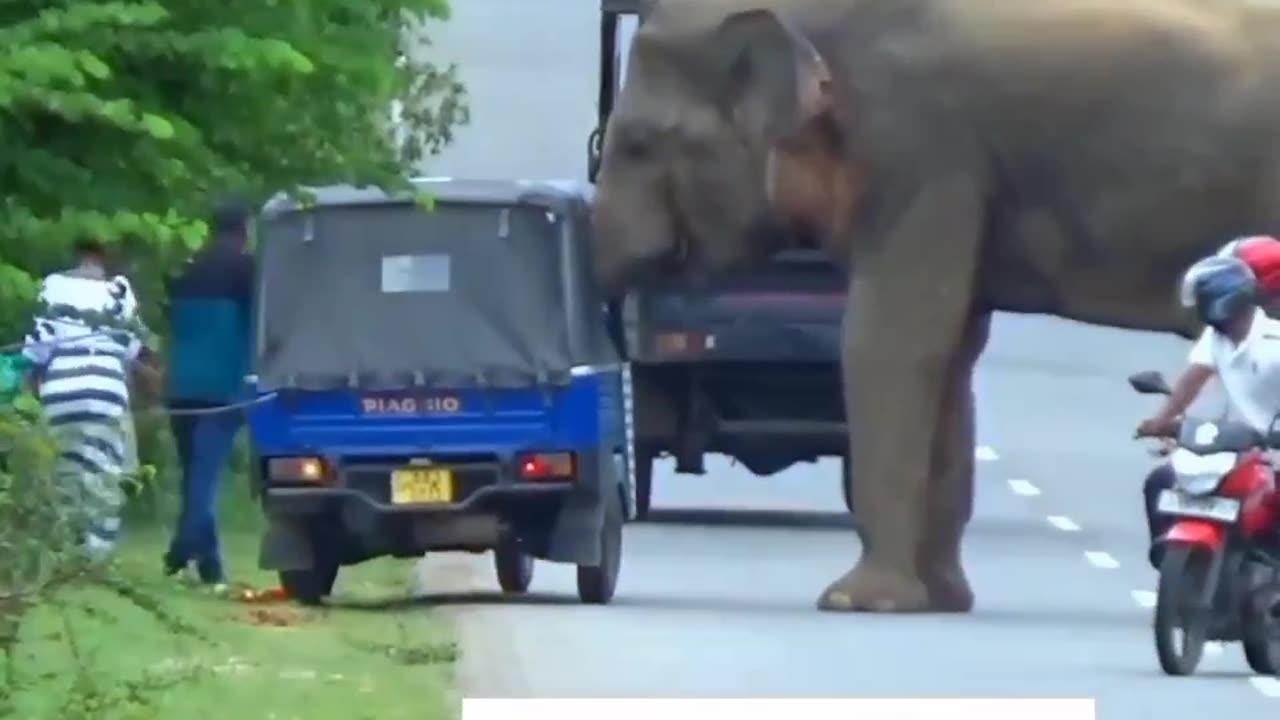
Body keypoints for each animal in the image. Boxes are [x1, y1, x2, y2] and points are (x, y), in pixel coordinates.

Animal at [591, 0, 1280, 609]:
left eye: (638, 146)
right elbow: (951, 353)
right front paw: (940, 601)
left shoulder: (919, 150)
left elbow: (893, 344)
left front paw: (853, 602)